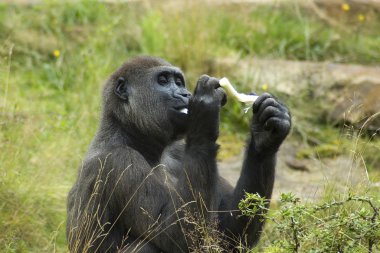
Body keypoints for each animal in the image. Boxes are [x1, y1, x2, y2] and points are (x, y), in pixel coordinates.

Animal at [66, 56, 290, 252]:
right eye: (163, 81)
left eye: (179, 82)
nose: (185, 94)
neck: (128, 133)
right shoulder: (119, 161)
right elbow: (178, 233)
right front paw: (206, 106)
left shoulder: (178, 150)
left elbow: (229, 235)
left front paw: (264, 139)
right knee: (147, 246)